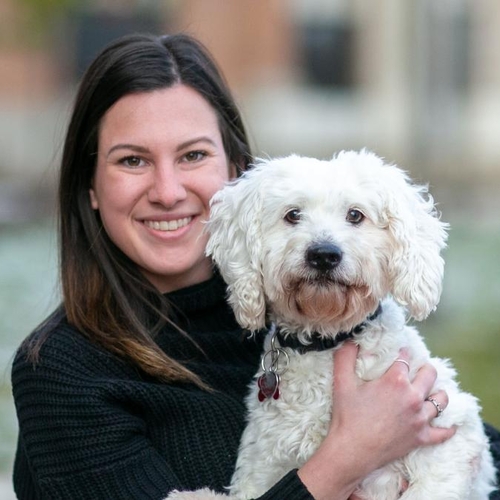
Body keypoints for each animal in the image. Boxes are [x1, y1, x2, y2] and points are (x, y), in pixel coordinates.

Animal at [168, 150, 496, 498]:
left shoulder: (450, 434)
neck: (325, 339)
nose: (324, 254)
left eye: (355, 215)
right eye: (293, 214)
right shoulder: (264, 465)